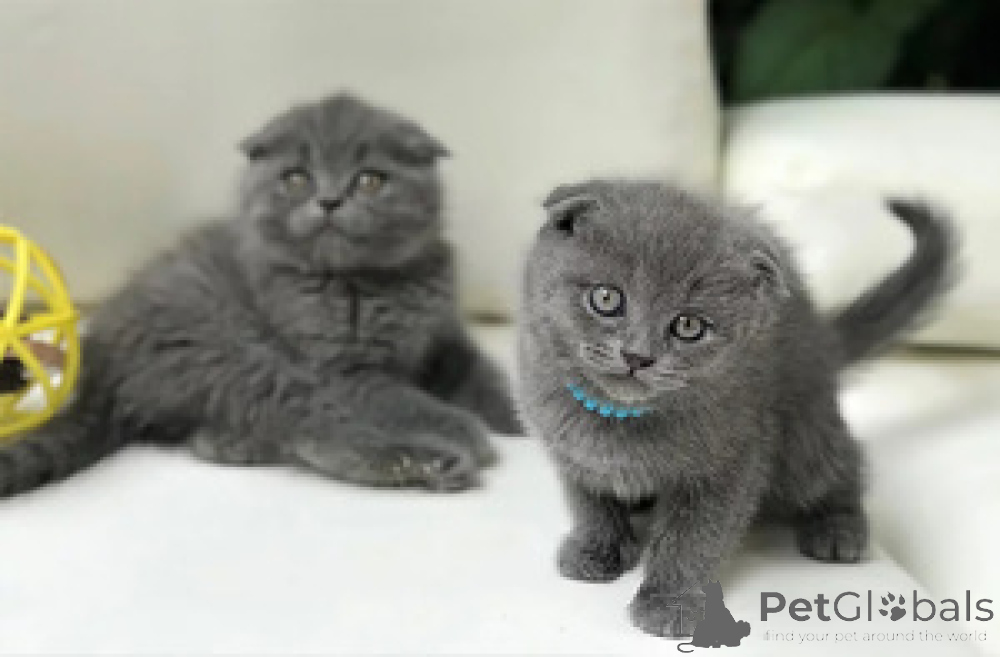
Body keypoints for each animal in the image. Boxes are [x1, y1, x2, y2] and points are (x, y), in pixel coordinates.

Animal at [0, 92, 522, 497]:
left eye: (370, 179)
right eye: (296, 178)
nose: (329, 200)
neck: (367, 282)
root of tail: (100, 365)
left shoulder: (446, 341)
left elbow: (488, 378)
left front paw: (522, 418)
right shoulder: (340, 369)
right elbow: (405, 399)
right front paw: (463, 425)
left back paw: (229, 442)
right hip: (239, 354)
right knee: (311, 427)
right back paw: (430, 462)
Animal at [516, 179, 955, 637]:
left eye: (688, 326)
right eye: (605, 298)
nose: (637, 356)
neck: (617, 416)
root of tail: (822, 337)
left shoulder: (731, 461)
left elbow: (693, 537)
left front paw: (668, 602)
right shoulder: (570, 453)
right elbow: (589, 503)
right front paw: (595, 549)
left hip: (802, 436)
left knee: (842, 464)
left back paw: (838, 527)